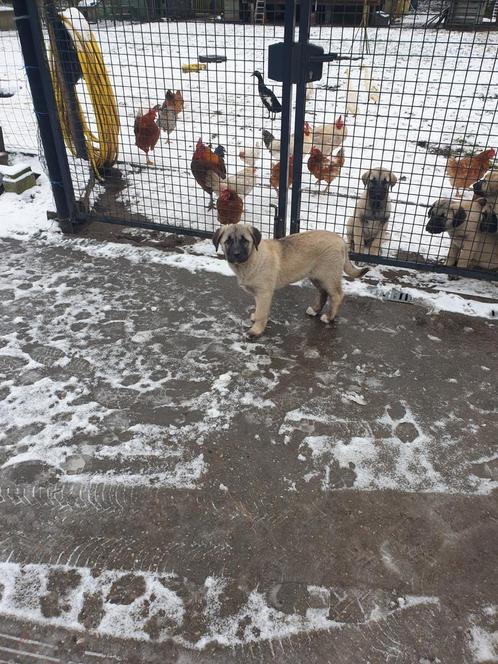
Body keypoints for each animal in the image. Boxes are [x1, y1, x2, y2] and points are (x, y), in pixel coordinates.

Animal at [212, 224, 368, 338]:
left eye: (244, 240)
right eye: (228, 241)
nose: (236, 254)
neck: (252, 259)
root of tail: (341, 241)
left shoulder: (264, 293)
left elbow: (262, 312)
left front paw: (256, 330)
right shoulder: (259, 294)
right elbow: (258, 309)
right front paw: (255, 317)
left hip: (329, 275)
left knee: (337, 295)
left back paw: (329, 317)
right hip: (316, 276)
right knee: (323, 293)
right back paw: (315, 310)